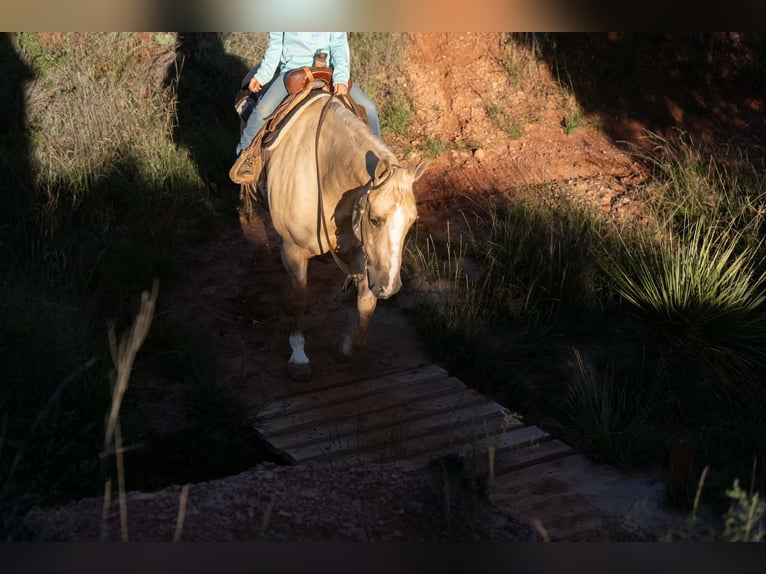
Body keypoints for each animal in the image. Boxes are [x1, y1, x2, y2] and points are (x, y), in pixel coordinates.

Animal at [260, 91, 428, 380]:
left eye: (411, 223)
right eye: (375, 219)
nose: (389, 287)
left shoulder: (360, 252)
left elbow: (366, 304)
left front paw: (346, 347)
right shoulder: (293, 249)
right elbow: (300, 298)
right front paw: (298, 356)